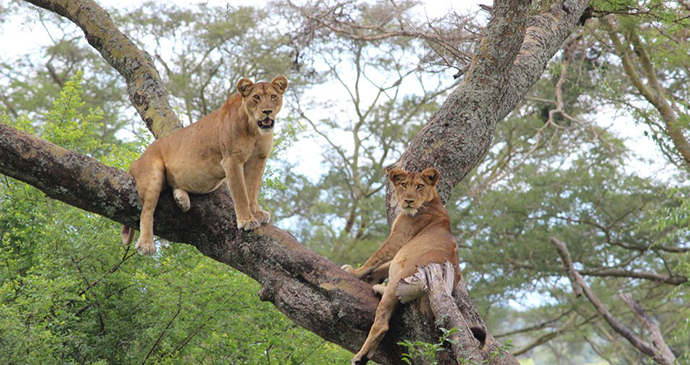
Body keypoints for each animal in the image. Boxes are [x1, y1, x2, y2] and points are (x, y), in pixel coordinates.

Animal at [121, 75, 288, 255]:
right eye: (256, 97)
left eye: (273, 96)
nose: (267, 111)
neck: (254, 129)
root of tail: (136, 162)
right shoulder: (232, 160)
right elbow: (241, 193)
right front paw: (247, 220)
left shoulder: (258, 159)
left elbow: (252, 190)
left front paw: (256, 213)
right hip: (152, 174)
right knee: (146, 210)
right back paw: (146, 244)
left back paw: (181, 199)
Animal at [342, 166, 460, 362]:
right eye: (404, 184)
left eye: (420, 186)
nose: (409, 201)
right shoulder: (401, 253)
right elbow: (382, 266)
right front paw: (369, 278)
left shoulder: (398, 238)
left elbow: (376, 258)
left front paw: (355, 272)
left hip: (402, 277)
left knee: (382, 324)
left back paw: (360, 357)